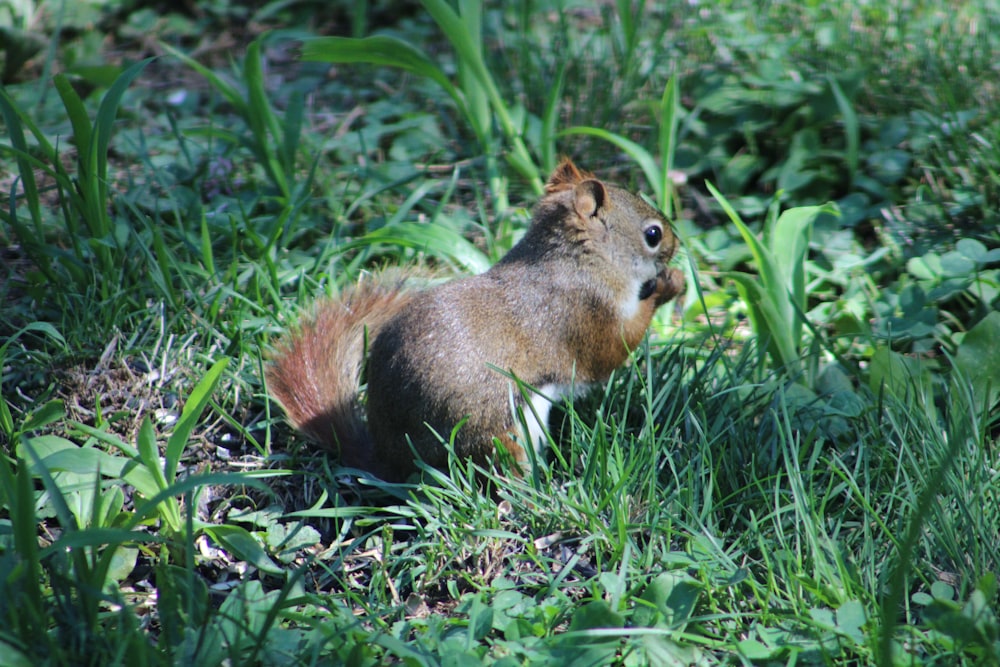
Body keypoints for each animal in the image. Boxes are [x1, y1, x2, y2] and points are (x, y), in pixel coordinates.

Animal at [266, 160, 688, 486]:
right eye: (652, 234)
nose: (677, 244)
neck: (578, 260)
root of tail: (390, 458)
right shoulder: (587, 314)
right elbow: (614, 350)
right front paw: (669, 284)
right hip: (495, 432)